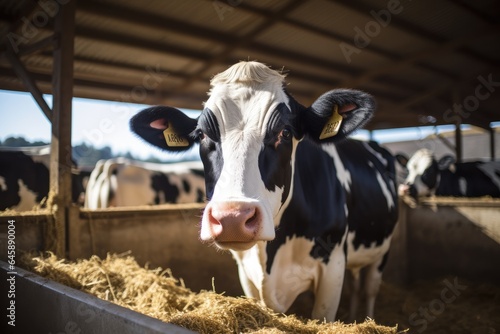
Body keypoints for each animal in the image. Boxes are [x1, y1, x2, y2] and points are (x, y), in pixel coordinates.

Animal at [130, 60, 398, 320]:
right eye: (202, 135)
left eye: (285, 132)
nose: (232, 218)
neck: (272, 256)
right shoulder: (247, 273)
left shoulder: (333, 266)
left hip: (382, 251)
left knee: (369, 289)